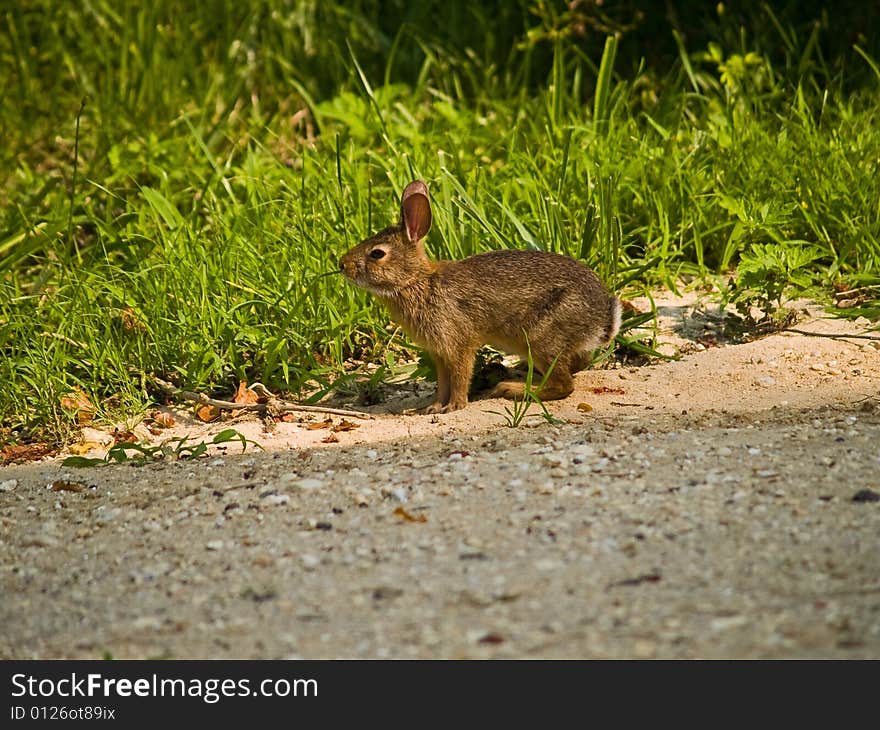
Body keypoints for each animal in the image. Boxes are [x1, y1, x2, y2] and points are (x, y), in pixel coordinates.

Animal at [336, 180, 620, 412]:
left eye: (377, 254)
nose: (342, 264)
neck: (416, 281)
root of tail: (604, 316)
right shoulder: (439, 353)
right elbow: (443, 382)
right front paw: (433, 407)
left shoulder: (459, 343)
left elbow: (460, 376)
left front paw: (455, 406)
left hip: (541, 337)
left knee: (565, 386)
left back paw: (513, 389)